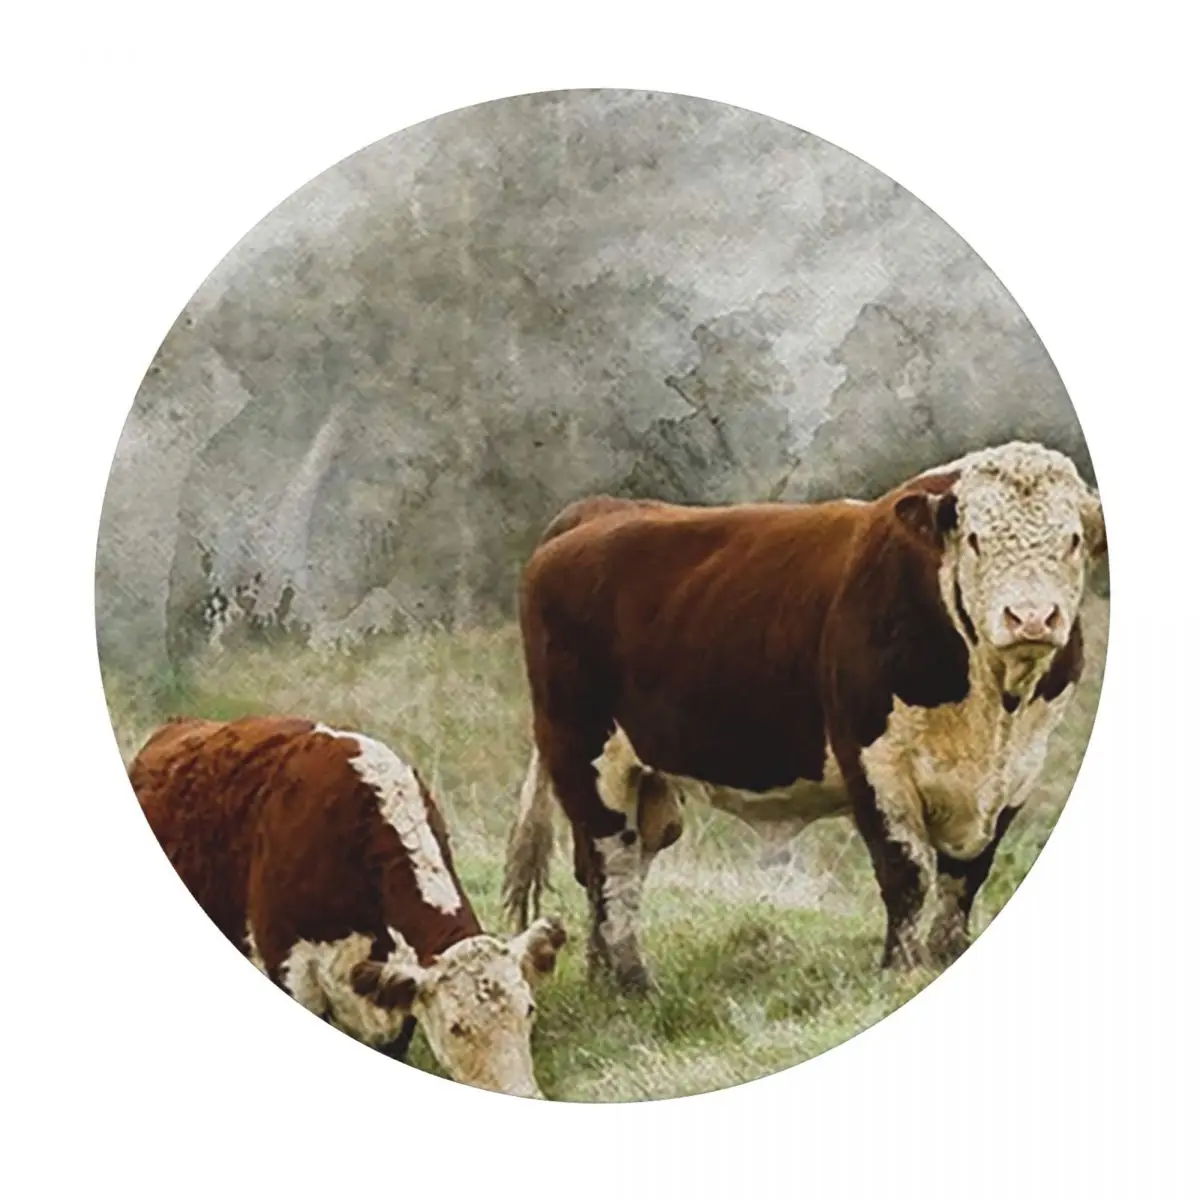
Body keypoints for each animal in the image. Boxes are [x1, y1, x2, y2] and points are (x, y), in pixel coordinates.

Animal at [502, 440, 1106, 992]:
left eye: (1072, 540)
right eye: (977, 540)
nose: (1032, 617)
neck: (990, 708)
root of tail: (598, 510)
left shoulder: (1017, 770)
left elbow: (967, 877)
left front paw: (947, 956)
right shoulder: (874, 763)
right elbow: (906, 871)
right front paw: (902, 971)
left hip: (641, 773)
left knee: (612, 858)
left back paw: (603, 976)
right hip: (582, 750)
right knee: (614, 863)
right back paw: (632, 983)